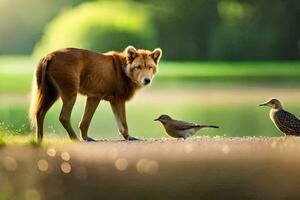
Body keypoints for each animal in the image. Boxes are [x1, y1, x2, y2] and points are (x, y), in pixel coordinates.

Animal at [29, 45, 162, 142]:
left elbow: (86, 121)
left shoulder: (101, 98)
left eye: (150, 67)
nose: (147, 80)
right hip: (69, 92)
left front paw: (86, 137)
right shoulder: (115, 98)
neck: (124, 70)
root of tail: (48, 56)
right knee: (63, 117)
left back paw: (39, 139)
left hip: (51, 93)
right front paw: (129, 137)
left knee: (39, 113)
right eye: (138, 67)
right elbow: (123, 122)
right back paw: (74, 138)